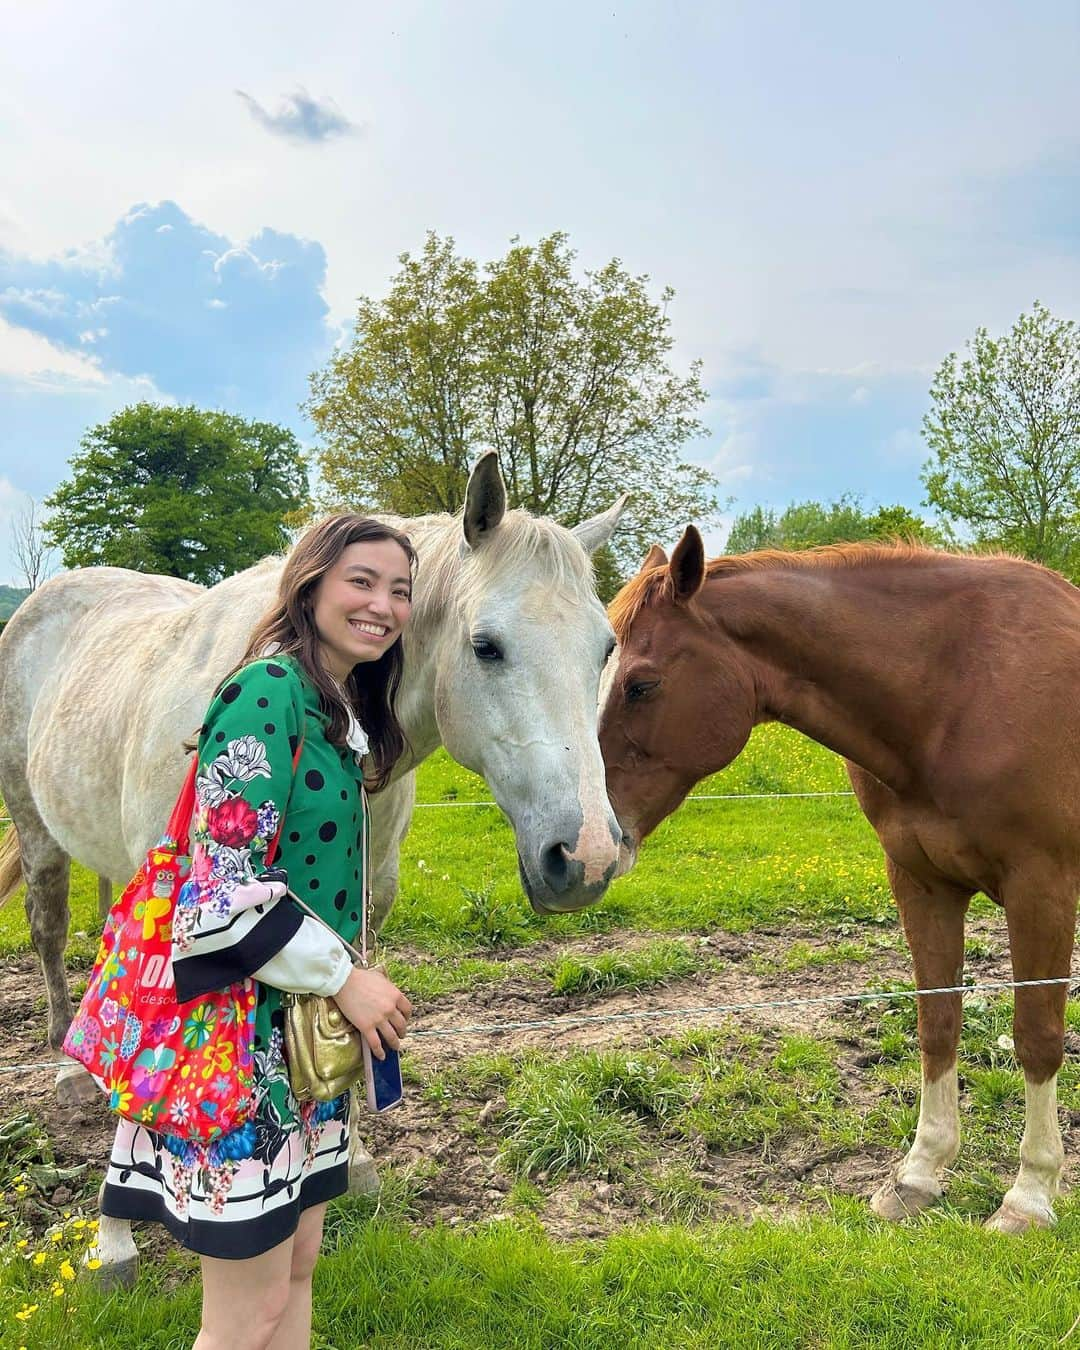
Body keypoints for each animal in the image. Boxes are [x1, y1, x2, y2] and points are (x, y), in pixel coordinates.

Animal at [0, 450, 623, 1274]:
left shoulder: (360, 906)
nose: (586, 857)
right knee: (48, 930)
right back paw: (70, 1067)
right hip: (36, 830)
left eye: (605, 648)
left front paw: (351, 1164)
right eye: (486, 646)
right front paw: (114, 1239)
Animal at [599, 526, 1080, 1236]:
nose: (575, 843)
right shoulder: (921, 883)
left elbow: (1037, 1038)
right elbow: (938, 1023)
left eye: (641, 684)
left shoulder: (1040, 889)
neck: (959, 688)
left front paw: (1029, 1196)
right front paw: (918, 1174)